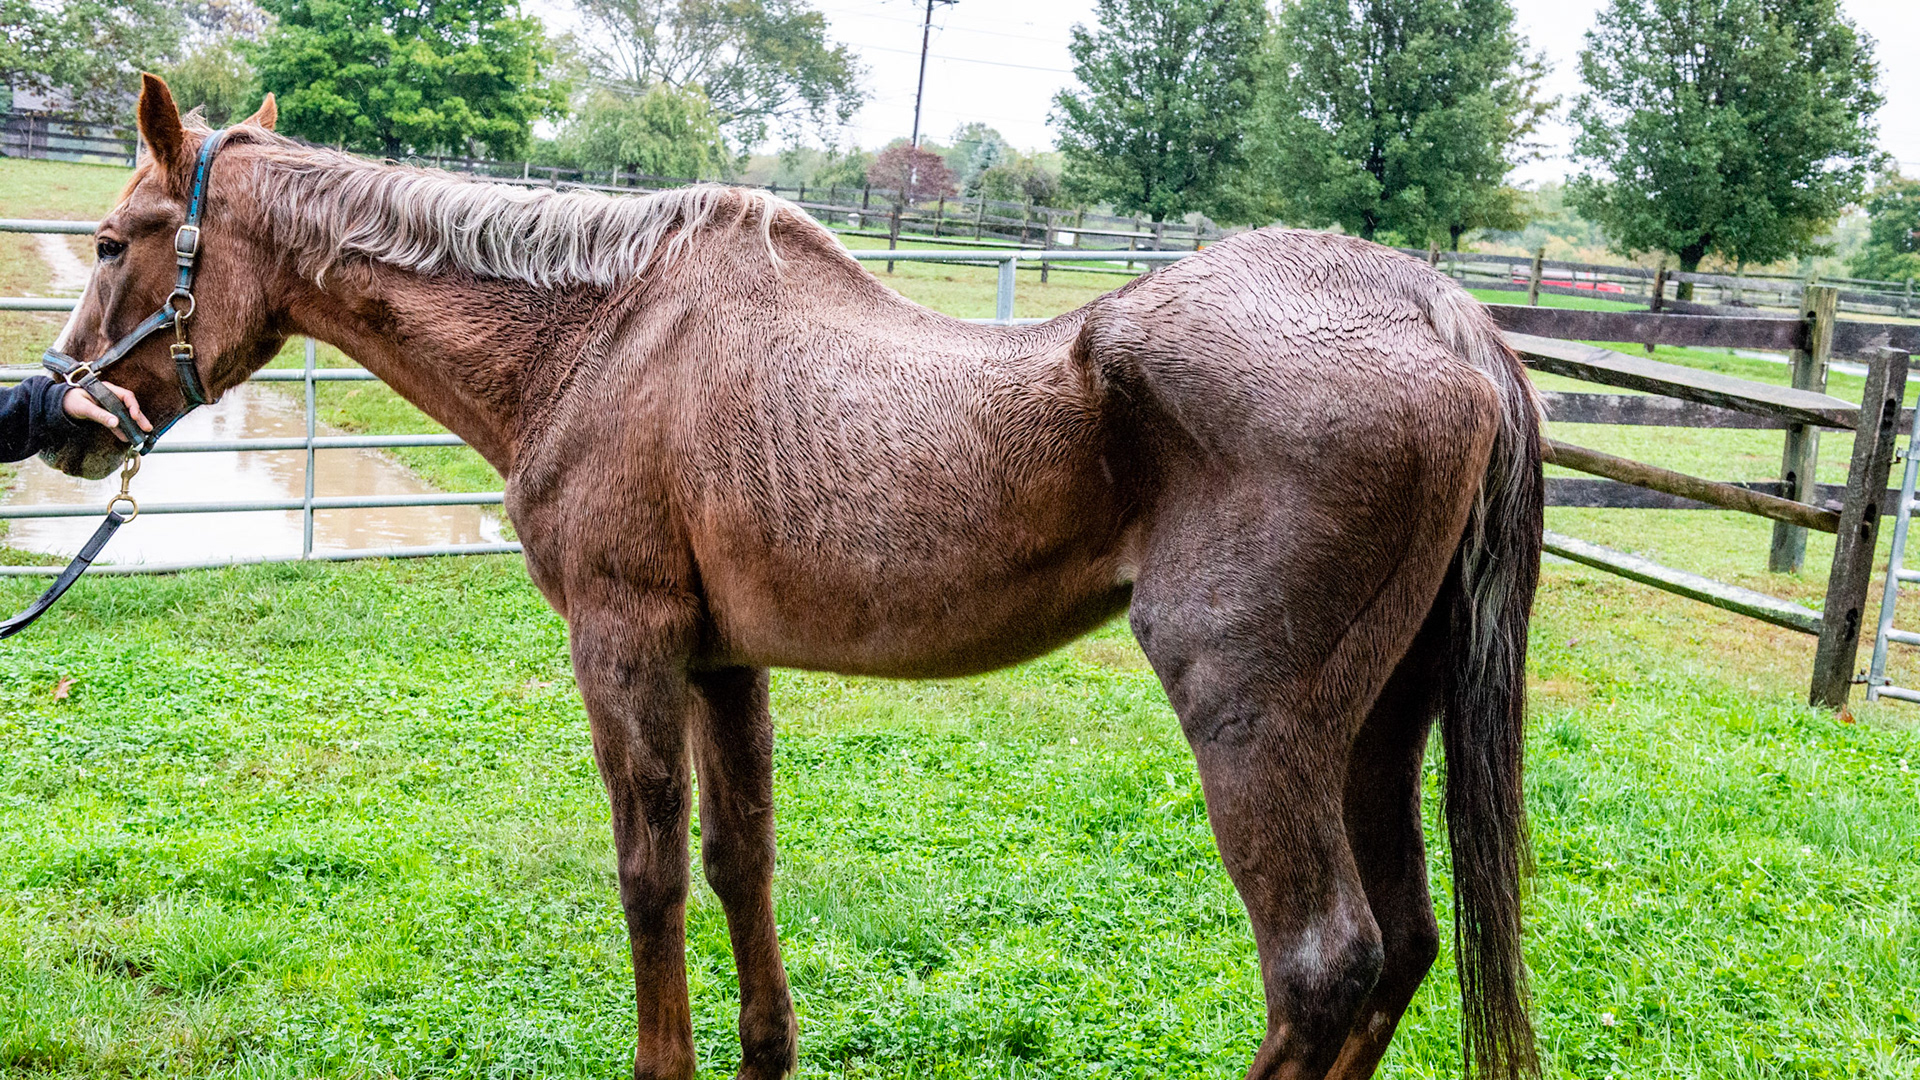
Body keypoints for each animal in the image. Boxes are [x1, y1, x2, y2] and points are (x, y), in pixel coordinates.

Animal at [42, 75, 1544, 1080]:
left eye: (115, 239)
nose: (65, 418)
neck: (603, 334)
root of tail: (1450, 318)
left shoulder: (626, 646)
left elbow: (648, 870)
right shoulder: (724, 661)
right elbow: (738, 858)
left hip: (1255, 725)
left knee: (1324, 967)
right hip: (1376, 727)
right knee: (1403, 947)